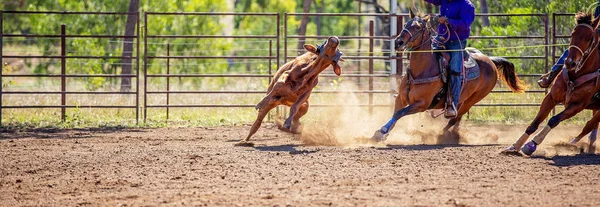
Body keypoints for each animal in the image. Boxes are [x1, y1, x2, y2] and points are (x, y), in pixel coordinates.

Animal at [370, 11, 524, 142]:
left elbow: (399, 113)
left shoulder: (421, 104)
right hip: (461, 100)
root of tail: (490, 61)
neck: (421, 70)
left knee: (454, 119)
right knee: (457, 118)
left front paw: (381, 132)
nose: (398, 42)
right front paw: (380, 134)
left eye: (418, 27)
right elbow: (396, 113)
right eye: (405, 24)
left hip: (472, 100)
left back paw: (442, 136)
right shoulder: (401, 99)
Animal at [504, 12, 600, 155]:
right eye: (572, 34)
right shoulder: (550, 98)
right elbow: (534, 124)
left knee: (589, 125)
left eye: (589, 38)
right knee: (591, 125)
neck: (575, 75)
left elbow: (554, 120)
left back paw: (573, 144)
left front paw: (532, 144)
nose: (570, 63)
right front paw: (515, 145)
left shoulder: (577, 105)